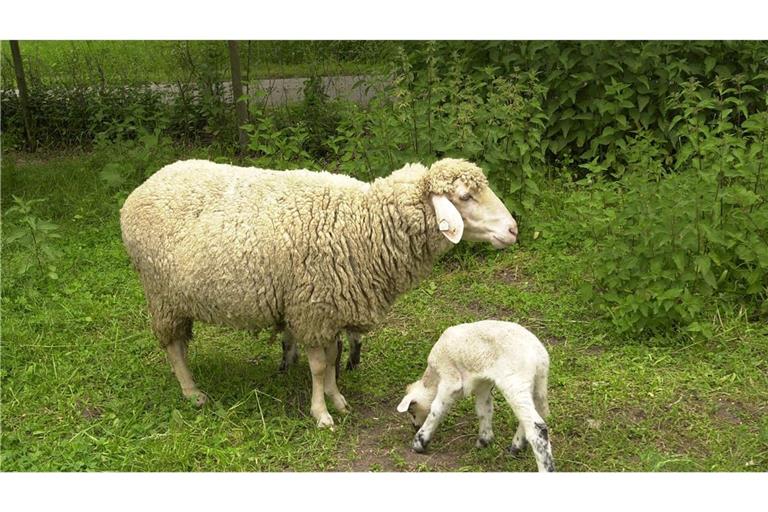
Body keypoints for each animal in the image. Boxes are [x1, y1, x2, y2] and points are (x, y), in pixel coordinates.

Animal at [120, 158, 518, 428]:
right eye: (465, 197)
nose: (513, 229)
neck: (365, 224)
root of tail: (142, 188)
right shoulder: (311, 308)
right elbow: (318, 365)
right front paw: (321, 414)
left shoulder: (329, 308)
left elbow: (330, 357)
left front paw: (336, 399)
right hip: (161, 294)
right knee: (172, 346)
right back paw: (192, 392)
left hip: (177, 297)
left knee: (179, 343)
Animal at [396, 320, 554, 472]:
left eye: (411, 411)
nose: (415, 426)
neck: (433, 379)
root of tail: (540, 356)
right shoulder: (482, 384)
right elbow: (484, 409)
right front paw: (484, 440)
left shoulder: (450, 378)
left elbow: (436, 409)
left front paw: (419, 442)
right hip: (538, 384)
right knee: (537, 413)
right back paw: (515, 447)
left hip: (515, 381)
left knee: (537, 427)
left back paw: (545, 467)